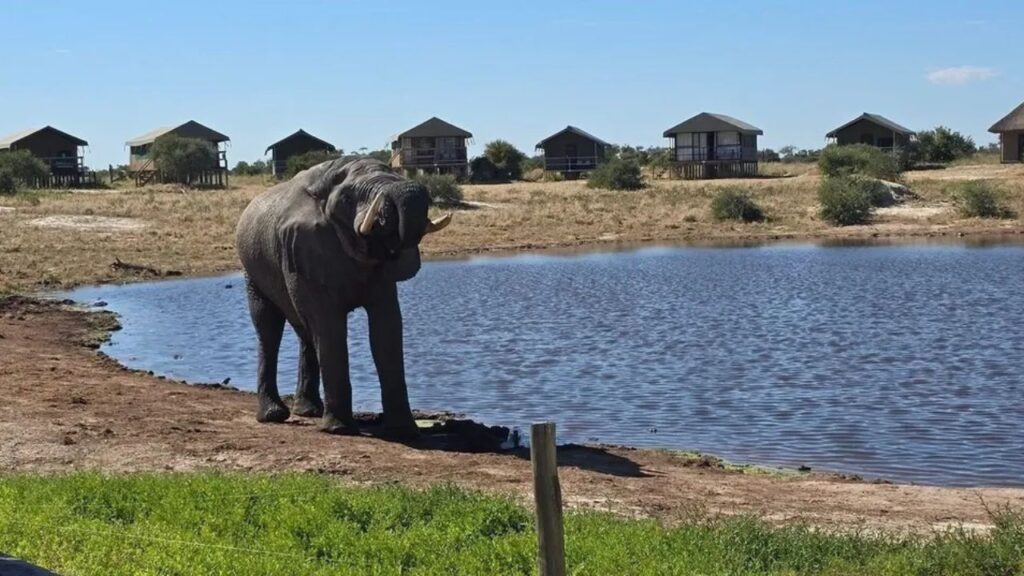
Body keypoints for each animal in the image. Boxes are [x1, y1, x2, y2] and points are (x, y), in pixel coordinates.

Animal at [235, 158, 450, 436]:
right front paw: (339, 429)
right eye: (348, 198)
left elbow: (387, 328)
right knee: (269, 329)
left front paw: (403, 430)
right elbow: (330, 327)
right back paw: (274, 415)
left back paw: (309, 412)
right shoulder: (302, 245)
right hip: (252, 269)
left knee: (305, 332)